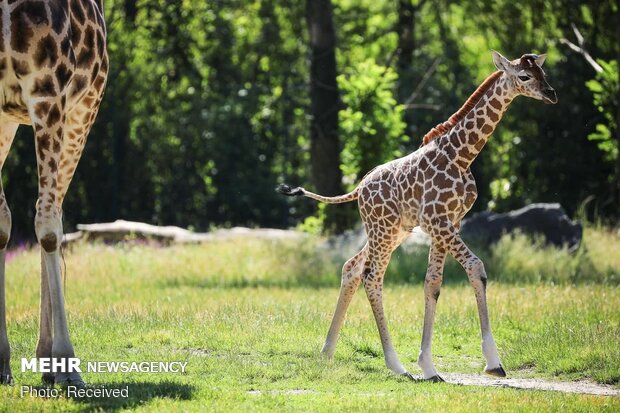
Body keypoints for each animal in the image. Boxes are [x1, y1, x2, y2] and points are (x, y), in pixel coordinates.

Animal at [278, 51, 560, 380]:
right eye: (525, 77)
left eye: (543, 72)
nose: (551, 94)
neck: (461, 156)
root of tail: (359, 188)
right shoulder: (438, 221)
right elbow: (476, 268)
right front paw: (493, 363)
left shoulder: (449, 222)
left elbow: (433, 283)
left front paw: (428, 365)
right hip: (383, 229)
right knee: (372, 277)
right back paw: (395, 365)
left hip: (392, 231)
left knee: (351, 268)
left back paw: (327, 353)